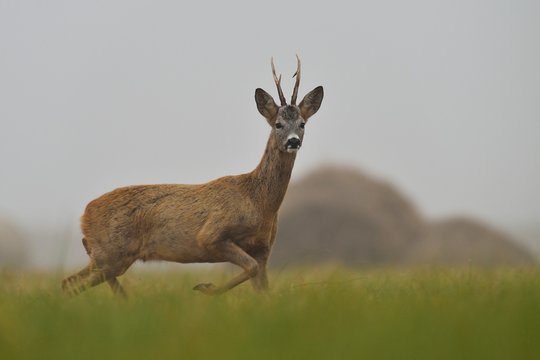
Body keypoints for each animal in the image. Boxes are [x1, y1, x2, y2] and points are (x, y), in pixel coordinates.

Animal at [63, 57, 324, 296]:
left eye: (302, 124)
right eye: (278, 124)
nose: (293, 141)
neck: (258, 202)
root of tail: (85, 214)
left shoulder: (263, 249)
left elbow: (264, 290)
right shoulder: (211, 235)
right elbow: (250, 268)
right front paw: (206, 287)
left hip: (111, 257)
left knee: (76, 282)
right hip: (110, 253)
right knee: (68, 283)